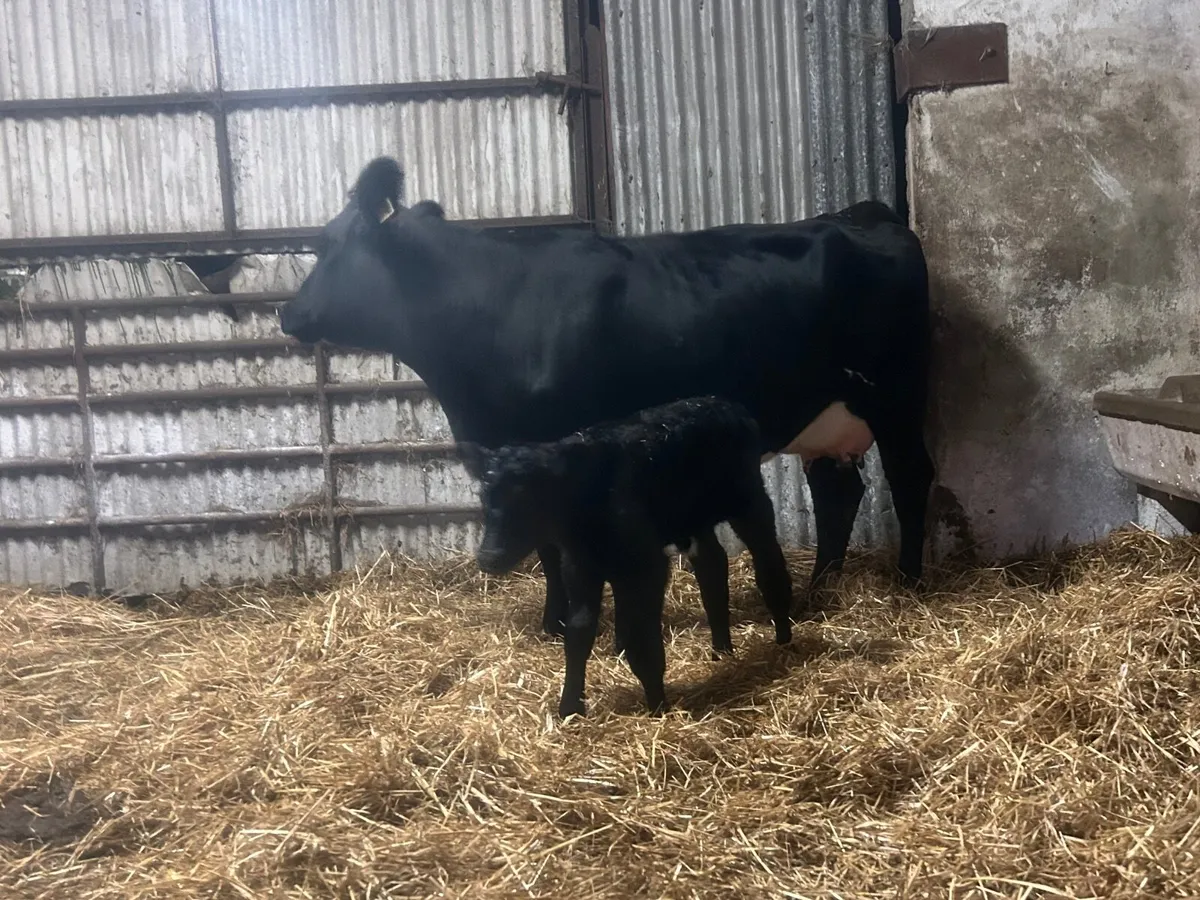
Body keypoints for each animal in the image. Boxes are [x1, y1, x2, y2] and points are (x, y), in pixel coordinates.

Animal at [279, 156, 934, 638]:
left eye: (327, 243)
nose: (288, 312)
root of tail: (862, 214)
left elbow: (554, 543)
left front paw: (566, 620)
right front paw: (553, 623)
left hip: (897, 398)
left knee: (909, 479)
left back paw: (908, 584)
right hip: (828, 411)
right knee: (837, 494)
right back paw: (818, 592)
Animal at [460, 395, 793, 717]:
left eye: (531, 498)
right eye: (484, 497)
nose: (489, 557)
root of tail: (725, 404)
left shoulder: (644, 566)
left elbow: (640, 640)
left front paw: (658, 707)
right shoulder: (579, 568)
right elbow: (578, 633)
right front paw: (570, 707)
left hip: (749, 500)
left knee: (768, 561)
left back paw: (783, 640)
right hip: (693, 519)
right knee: (712, 565)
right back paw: (721, 652)